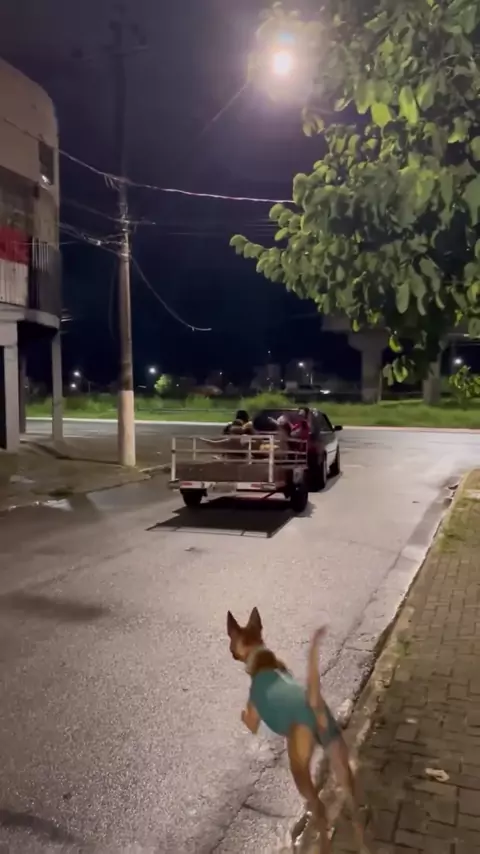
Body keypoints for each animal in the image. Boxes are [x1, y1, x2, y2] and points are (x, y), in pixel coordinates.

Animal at [227, 607, 365, 852]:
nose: (230, 651)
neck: (259, 656)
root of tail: (314, 706)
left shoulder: (253, 719)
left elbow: (246, 719)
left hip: (298, 767)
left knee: (318, 806)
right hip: (339, 760)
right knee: (352, 805)